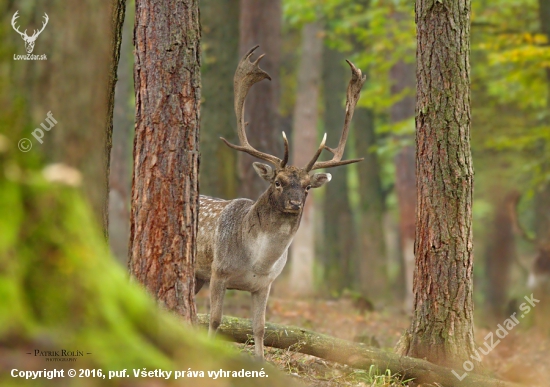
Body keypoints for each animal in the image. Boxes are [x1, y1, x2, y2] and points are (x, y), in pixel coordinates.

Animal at [194, 46, 366, 360]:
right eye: (278, 182)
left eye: (308, 187)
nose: (296, 202)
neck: (257, 262)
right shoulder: (218, 272)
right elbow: (214, 320)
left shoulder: (265, 285)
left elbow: (260, 327)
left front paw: (261, 361)